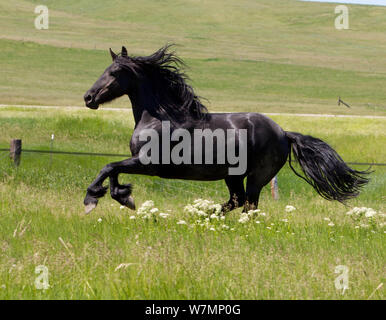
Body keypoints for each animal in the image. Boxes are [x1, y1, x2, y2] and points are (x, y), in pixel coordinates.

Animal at [83, 45, 368, 214]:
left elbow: (108, 167)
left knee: (248, 205)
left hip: (257, 176)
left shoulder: (148, 163)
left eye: (115, 72)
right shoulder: (138, 161)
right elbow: (113, 171)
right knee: (237, 201)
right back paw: (206, 216)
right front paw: (123, 196)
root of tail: (284, 133)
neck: (159, 117)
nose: (88, 98)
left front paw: (93, 199)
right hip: (233, 175)